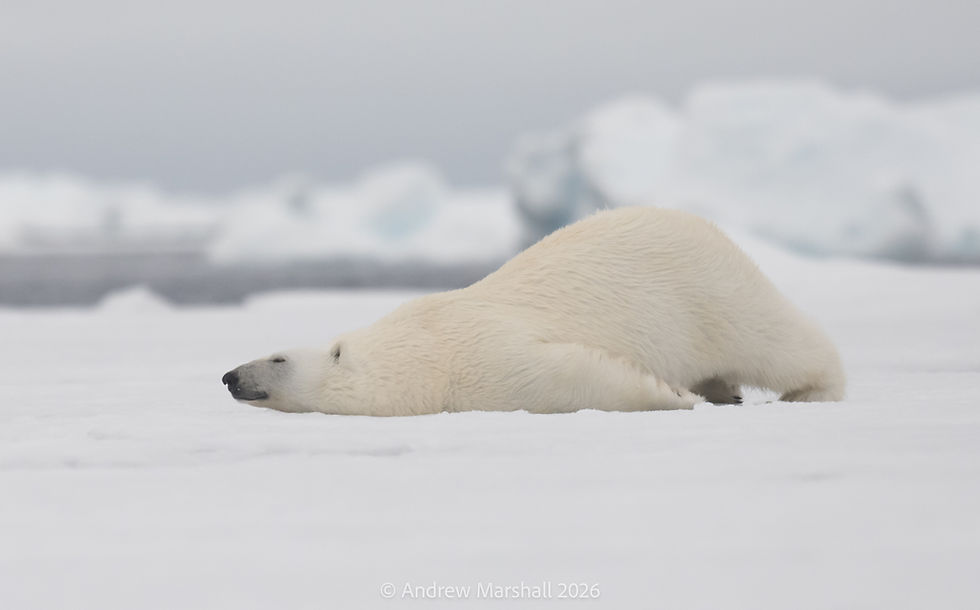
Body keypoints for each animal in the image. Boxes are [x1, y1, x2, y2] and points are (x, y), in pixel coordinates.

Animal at [221, 206, 845, 415]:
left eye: (276, 359)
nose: (229, 376)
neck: (422, 349)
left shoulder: (480, 359)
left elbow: (572, 378)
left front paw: (672, 395)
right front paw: (687, 393)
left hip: (710, 290)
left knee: (773, 341)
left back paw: (811, 390)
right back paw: (722, 389)